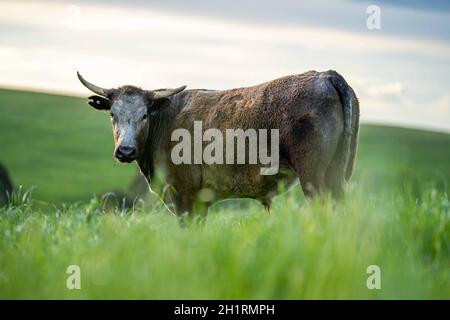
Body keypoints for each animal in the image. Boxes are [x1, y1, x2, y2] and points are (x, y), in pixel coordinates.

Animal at [76, 70, 358, 215]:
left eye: (145, 115)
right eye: (113, 114)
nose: (125, 150)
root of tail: (324, 75)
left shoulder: (184, 196)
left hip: (313, 177)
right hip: (336, 175)